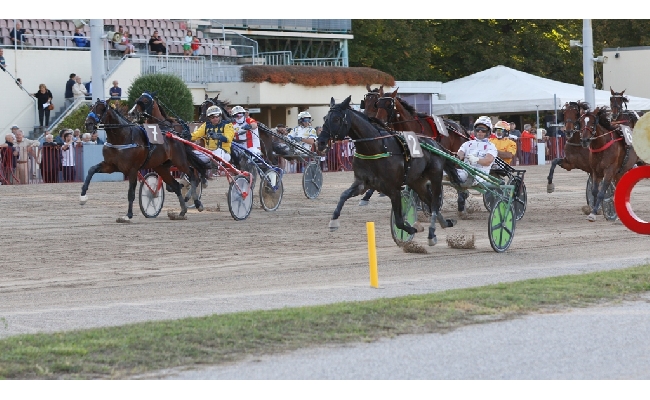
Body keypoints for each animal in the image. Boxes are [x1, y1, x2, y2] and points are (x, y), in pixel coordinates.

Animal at [316, 96, 460, 247]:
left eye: (336, 119)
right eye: (325, 117)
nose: (320, 142)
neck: (374, 148)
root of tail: (435, 144)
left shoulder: (393, 189)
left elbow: (399, 221)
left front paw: (411, 229)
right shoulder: (362, 183)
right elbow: (343, 195)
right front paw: (333, 221)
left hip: (435, 176)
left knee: (435, 203)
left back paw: (431, 233)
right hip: (416, 181)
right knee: (430, 201)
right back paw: (445, 223)